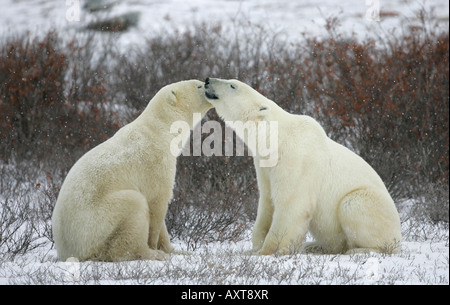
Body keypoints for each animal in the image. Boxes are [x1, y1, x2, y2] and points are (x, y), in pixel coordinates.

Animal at [51, 79, 212, 260]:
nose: (207, 82)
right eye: (198, 86)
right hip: (97, 222)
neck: (160, 130)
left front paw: (176, 250)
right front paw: (156, 247)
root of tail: (67, 250)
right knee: (134, 208)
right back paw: (150, 253)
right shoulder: (157, 162)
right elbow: (157, 201)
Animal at [204, 77, 400, 253]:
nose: (207, 80)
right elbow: (267, 202)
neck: (277, 138)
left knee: (353, 206)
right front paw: (255, 247)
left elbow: (291, 204)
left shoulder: (297, 159)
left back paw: (360, 250)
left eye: (232, 85)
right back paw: (313, 246)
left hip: (370, 204)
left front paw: (268, 251)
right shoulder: (264, 165)